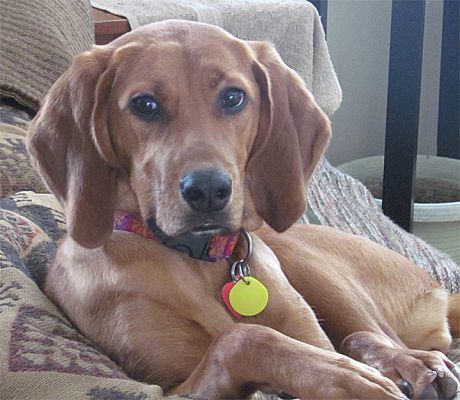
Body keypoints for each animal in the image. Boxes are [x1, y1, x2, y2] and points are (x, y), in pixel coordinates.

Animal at [27, 21, 458, 400]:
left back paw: (411, 364)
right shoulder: (167, 389)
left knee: (372, 334)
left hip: (305, 261)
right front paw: (345, 377)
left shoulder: (309, 333)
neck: (199, 260)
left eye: (233, 97)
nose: (208, 190)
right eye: (144, 105)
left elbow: (279, 337)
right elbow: (241, 337)